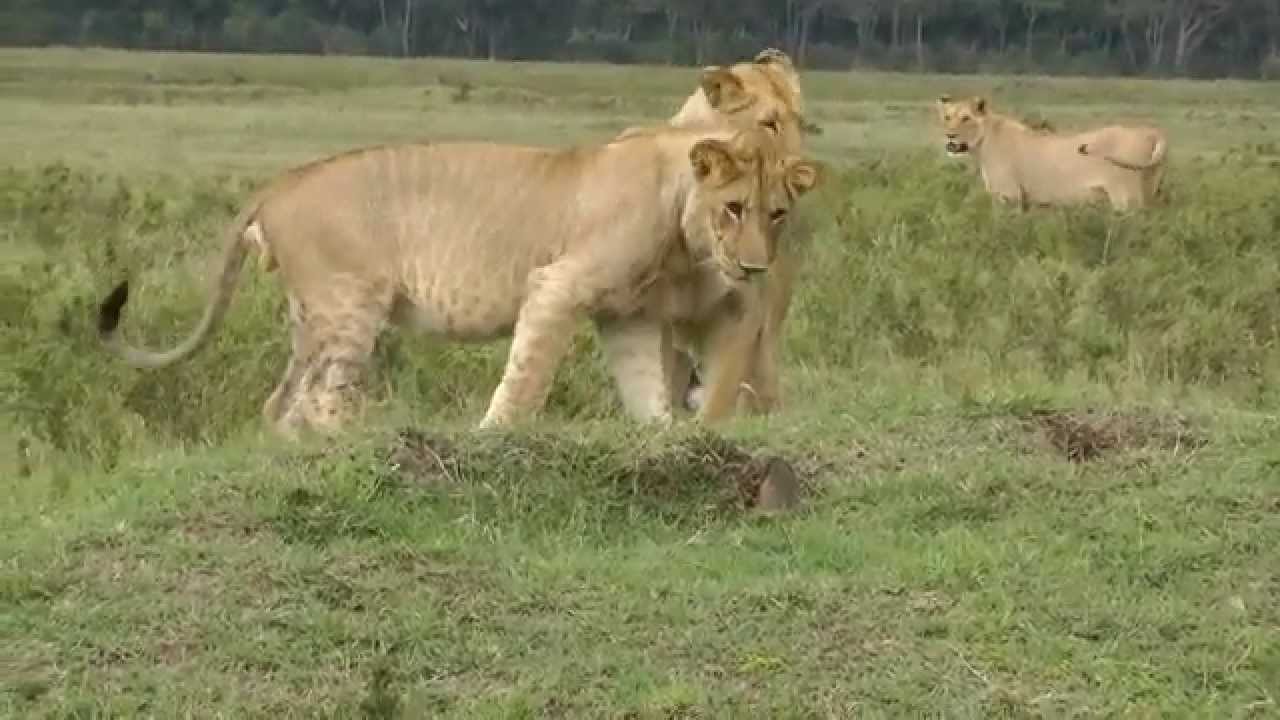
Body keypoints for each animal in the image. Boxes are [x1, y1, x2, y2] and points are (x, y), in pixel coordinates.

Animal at [96, 126, 820, 437]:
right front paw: (491, 435)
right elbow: (526, 379)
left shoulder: (628, 317)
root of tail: (282, 180)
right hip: (351, 306)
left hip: (312, 316)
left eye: (778, 213)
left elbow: (646, 390)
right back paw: (347, 447)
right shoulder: (555, 285)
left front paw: (664, 441)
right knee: (321, 399)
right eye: (734, 209)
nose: (756, 268)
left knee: (281, 402)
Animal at [936, 95, 1169, 211]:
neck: (982, 143)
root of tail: (1152, 133)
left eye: (966, 118)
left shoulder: (1009, 196)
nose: (949, 136)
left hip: (1127, 199)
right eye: (947, 117)